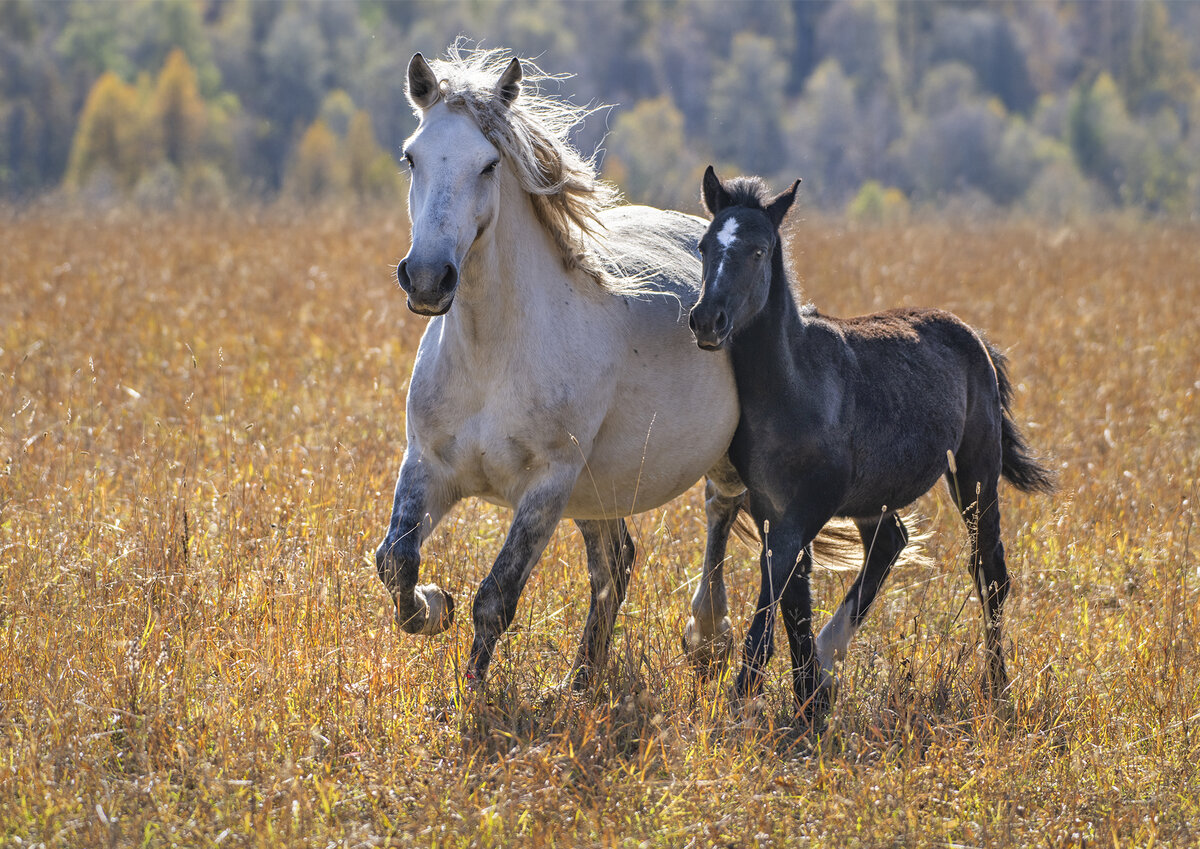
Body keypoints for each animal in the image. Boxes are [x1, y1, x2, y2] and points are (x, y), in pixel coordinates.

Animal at [691, 167, 1056, 724]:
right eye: (706, 244)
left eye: (758, 249)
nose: (706, 320)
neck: (792, 386)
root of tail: (973, 335)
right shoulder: (770, 506)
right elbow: (793, 598)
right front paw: (809, 700)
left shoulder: (808, 507)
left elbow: (774, 603)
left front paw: (748, 701)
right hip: (874, 496)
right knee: (889, 544)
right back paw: (829, 659)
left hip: (975, 470)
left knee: (990, 570)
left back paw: (998, 690)